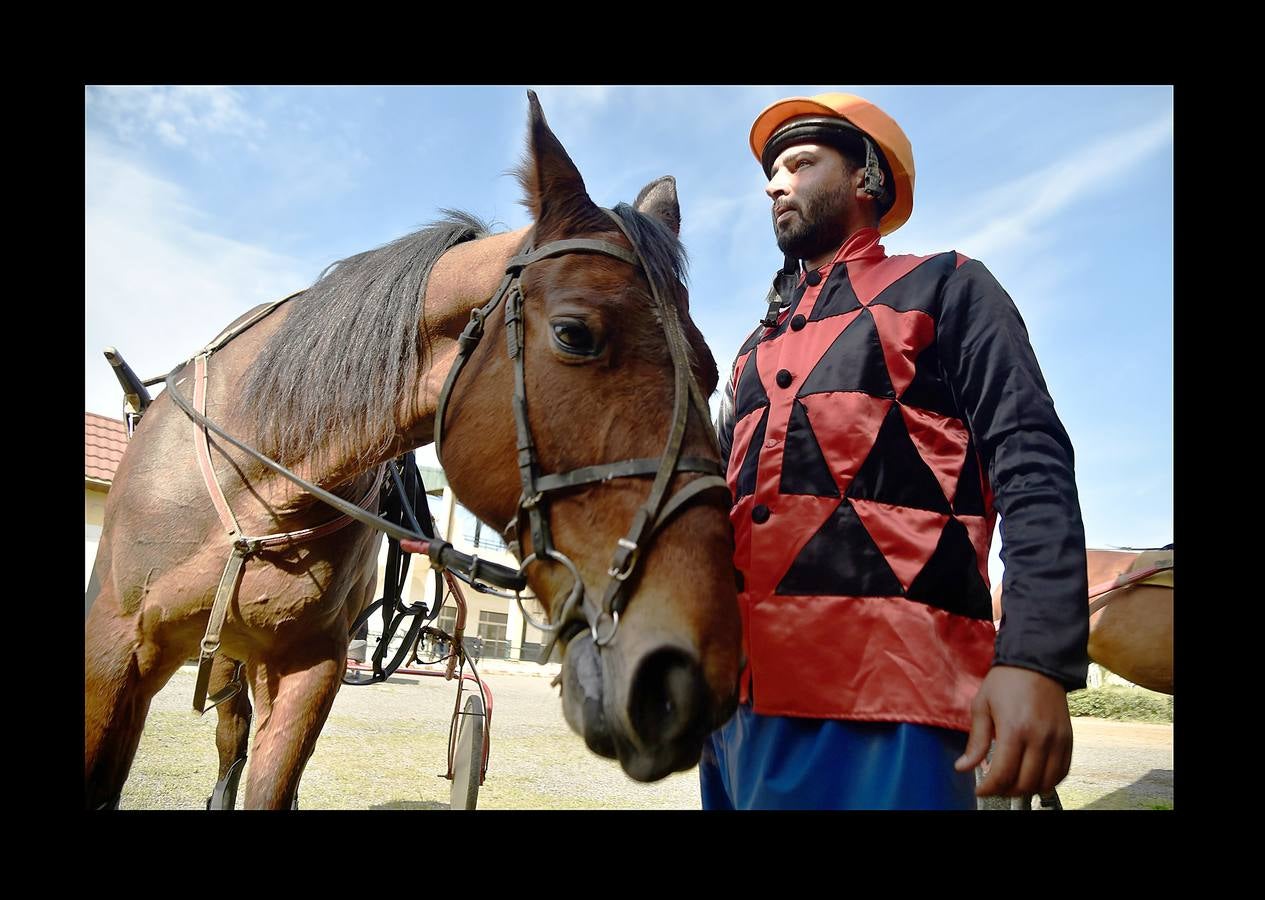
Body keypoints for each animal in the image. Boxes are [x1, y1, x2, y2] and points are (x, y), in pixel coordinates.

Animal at [86, 91, 738, 810]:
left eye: (709, 371)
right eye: (574, 333)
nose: (683, 673)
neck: (259, 472)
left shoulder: (306, 669)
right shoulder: (112, 653)